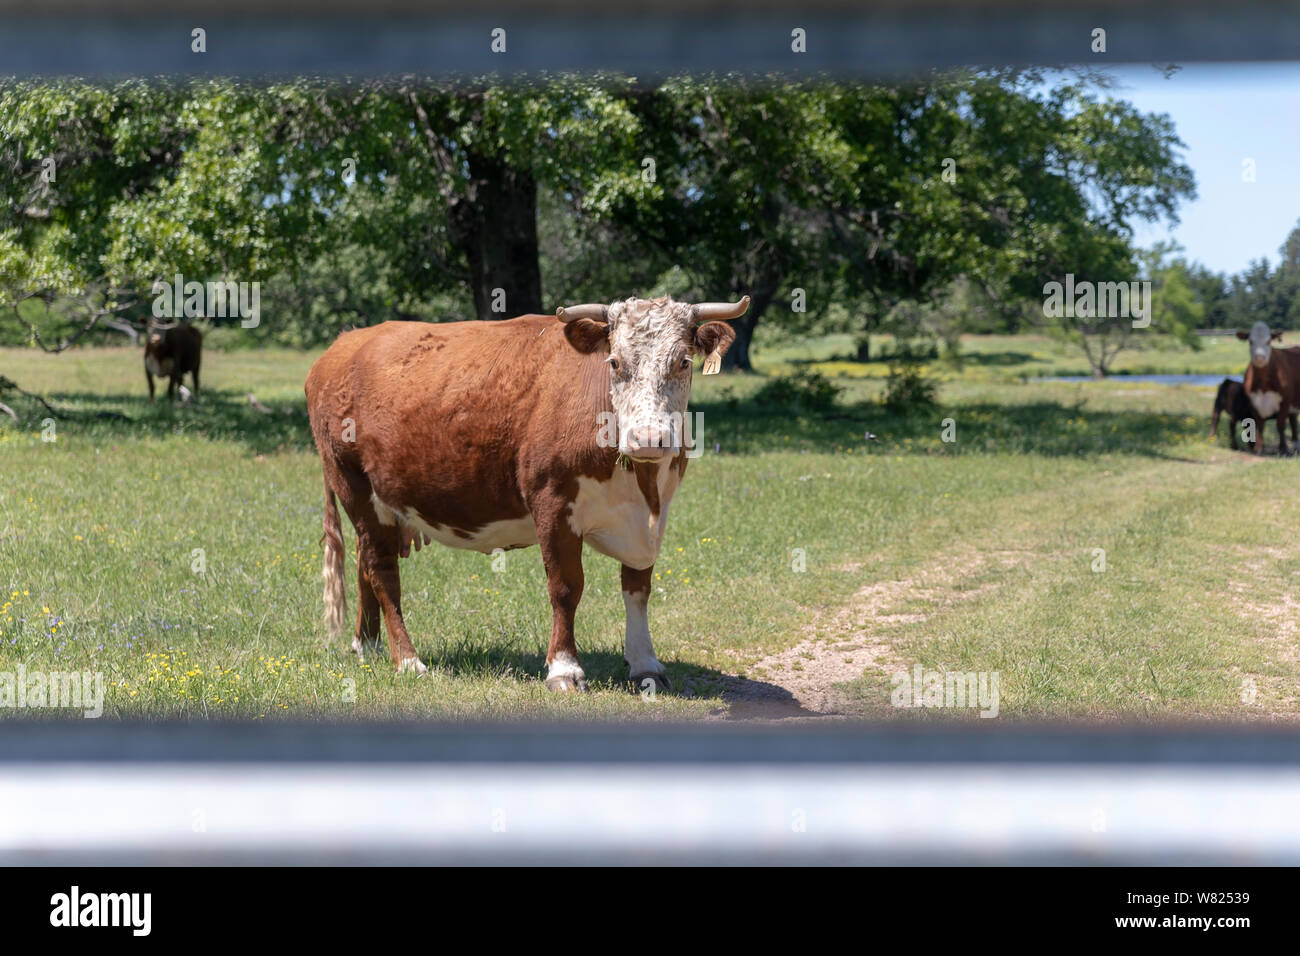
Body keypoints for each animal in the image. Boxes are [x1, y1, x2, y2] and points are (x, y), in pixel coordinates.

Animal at [304, 295, 748, 691]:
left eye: (684, 361)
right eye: (615, 363)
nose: (649, 438)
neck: (640, 485)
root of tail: (346, 343)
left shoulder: (650, 518)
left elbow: (637, 587)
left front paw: (645, 665)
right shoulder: (552, 502)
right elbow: (566, 587)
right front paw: (564, 670)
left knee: (364, 563)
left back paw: (368, 646)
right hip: (354, 486)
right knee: (381, 571)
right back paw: (408, 660)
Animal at [1232, 323, 1300, 455]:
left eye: (1268, 341)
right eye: (1250, 341)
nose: (1260, 357)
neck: (1263, 387)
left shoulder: (1285, 401)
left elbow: (1280, 425)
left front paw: (1283, 449)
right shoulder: (1253, 402)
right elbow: (1259, 425)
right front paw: (1259, 448)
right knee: (1294, 421)